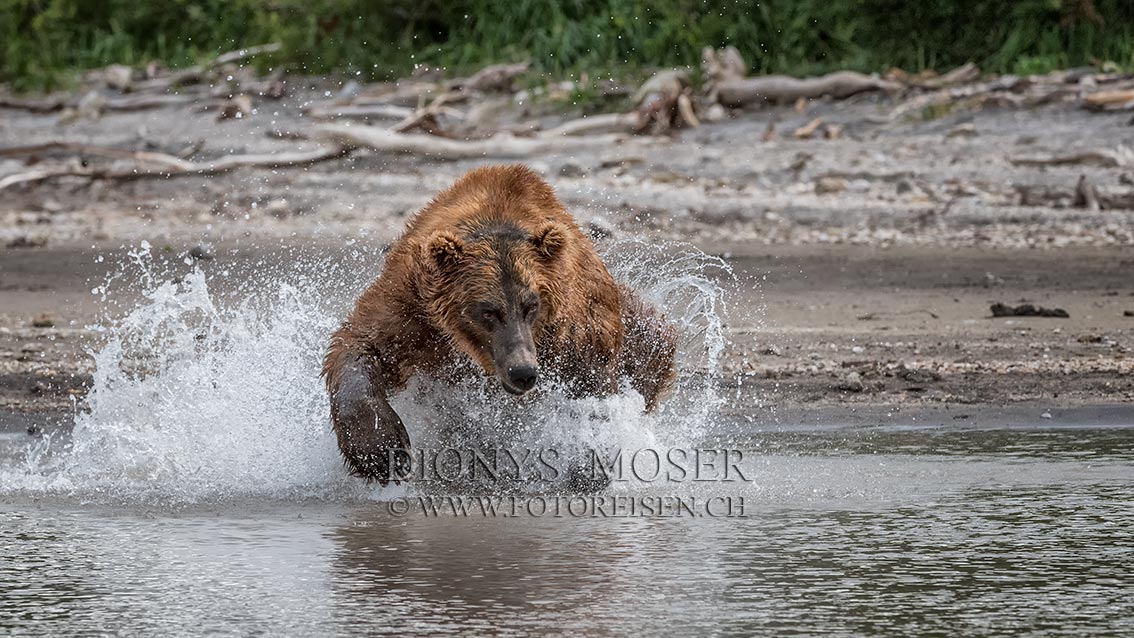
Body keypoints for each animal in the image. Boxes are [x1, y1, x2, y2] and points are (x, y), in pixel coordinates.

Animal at [322, 164, 671, 485]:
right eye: (488, 311)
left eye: (532, 305)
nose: (523, 371)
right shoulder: (413, 308)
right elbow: (360, 346)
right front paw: (381, 452)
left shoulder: (575, 329)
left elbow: (590, 390)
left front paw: (586, 458)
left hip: (641, 331)